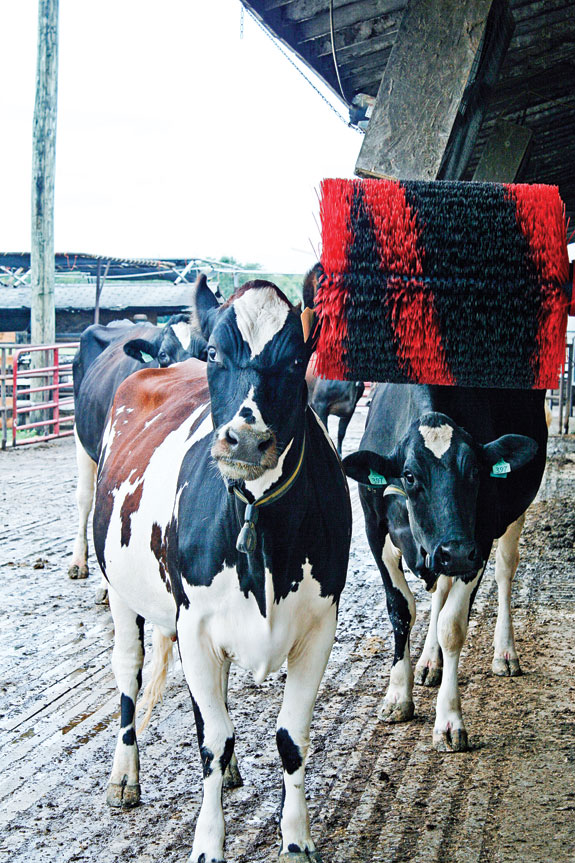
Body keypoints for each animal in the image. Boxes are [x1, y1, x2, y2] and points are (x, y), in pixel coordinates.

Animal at [93, 279, 352, 862]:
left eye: (297, 358)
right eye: (214, 353)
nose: (247, 439)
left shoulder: (320, 625)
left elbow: (291, 738)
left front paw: (296, 838)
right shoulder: (194, 625)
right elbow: (212, 739)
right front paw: (208, 842)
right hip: (120, 591)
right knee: (128, 673)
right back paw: (124, 776)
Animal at [342, 383, 545, 751]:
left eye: (476, 471)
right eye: (409, 476)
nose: (457, 552)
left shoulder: (478, 541)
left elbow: (451, 625)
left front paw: (449, 721)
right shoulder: (374, 528)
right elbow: (401, 611)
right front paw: (398, 695)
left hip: (513, 514)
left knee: (505, 571)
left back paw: (505, 653)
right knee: (439, 588)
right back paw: (428, 663)